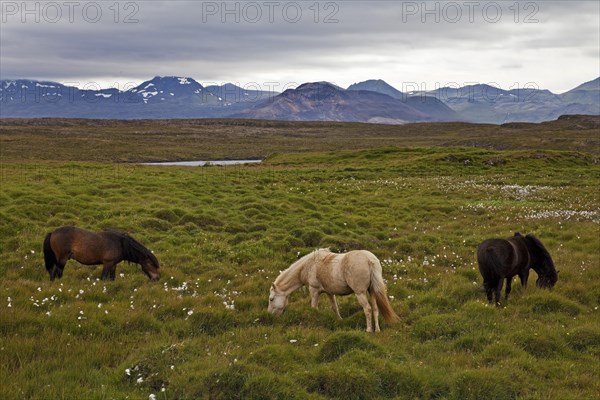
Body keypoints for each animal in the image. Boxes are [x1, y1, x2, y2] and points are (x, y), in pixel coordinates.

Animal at [268, 248, 398, 332]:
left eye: (271, 299)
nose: (270, 316)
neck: (309, 266)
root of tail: (370, 260)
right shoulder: (330, 292)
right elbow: (335, 307)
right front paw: (340, 321)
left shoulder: (314, 290)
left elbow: (313, 308)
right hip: (372, 291)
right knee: (375, 309)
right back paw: (377, 330)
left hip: (360, 293)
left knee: (367, 309)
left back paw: (369, 330)